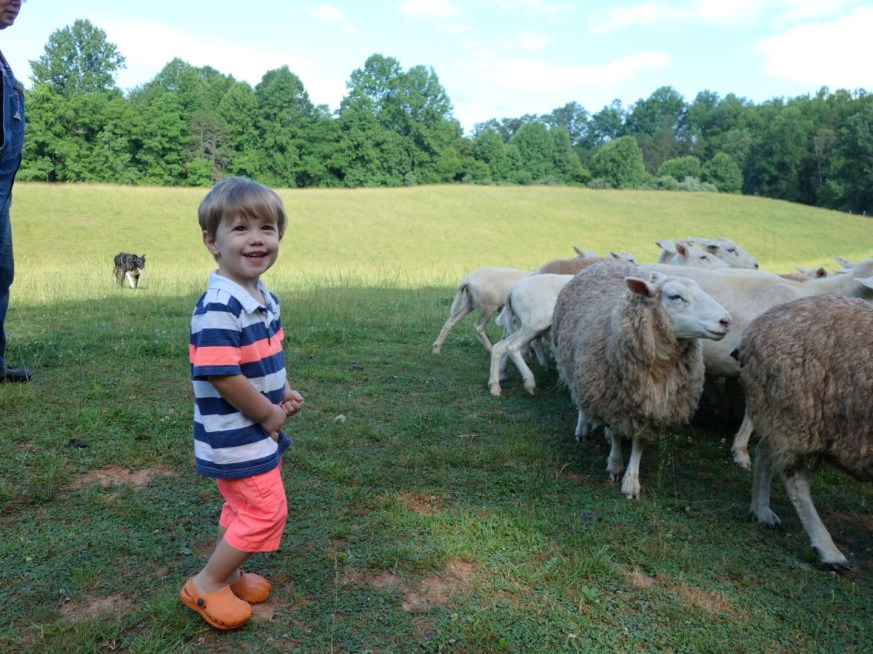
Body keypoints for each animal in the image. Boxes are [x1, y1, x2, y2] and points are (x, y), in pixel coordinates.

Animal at [551, 262, 732, 499]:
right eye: (675, 296)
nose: (726, 321)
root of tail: (606, 263)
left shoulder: (652, 409)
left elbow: (639, 443)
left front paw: (631, 482)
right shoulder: (614, 401)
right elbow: (617, 433)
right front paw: (615, 465)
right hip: (579, 368)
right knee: (581, 399)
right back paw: (582, 428)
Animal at [736, 295, 873, 570]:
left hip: (781, 412)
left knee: (765, 450)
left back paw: (762, 511)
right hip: (802, 417)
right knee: (795, 478)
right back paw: (829, 550)